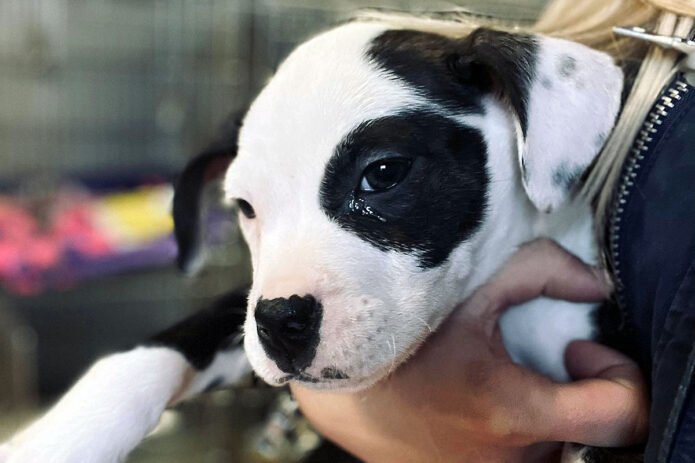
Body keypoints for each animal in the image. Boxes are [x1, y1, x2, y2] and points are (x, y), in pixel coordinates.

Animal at [0, 19, 624, 463]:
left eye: (383, 174)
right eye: (245, 207)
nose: (281, 325)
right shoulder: (243, 316)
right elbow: (156, 350)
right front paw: (56, 441)